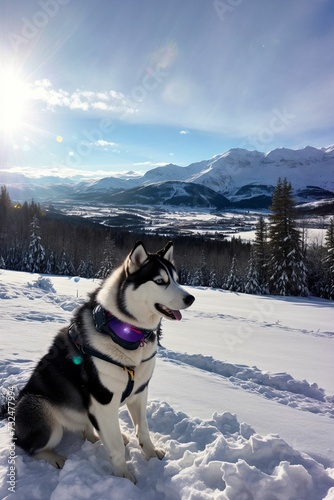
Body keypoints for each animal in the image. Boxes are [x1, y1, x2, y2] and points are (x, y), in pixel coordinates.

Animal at [14, 240, 194, 482]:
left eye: (176, 278)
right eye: (159, 281)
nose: (190, 298)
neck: (125, 332)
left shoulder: (139, 392)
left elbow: (143, 429)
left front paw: (150, 454)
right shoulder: (104, 400)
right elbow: (116, 446)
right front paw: (124, 476)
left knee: (88, 428)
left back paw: (96, 437)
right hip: (42, 412)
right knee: (30, 447)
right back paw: (55, 457)